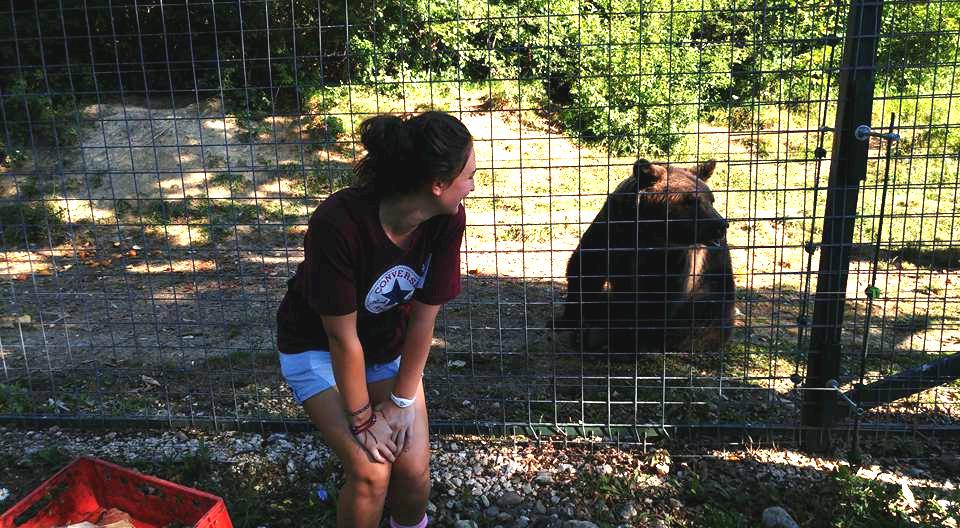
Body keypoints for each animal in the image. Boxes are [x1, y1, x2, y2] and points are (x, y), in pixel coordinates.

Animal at [556, 159, 736, 356]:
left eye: (712, 199)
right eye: (691, 200)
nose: (721, 225)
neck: (648, 232)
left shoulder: (675, 258)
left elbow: (656, 297)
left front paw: (620, 341)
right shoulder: (612, 231)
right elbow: (586, 269)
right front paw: (569, 320)